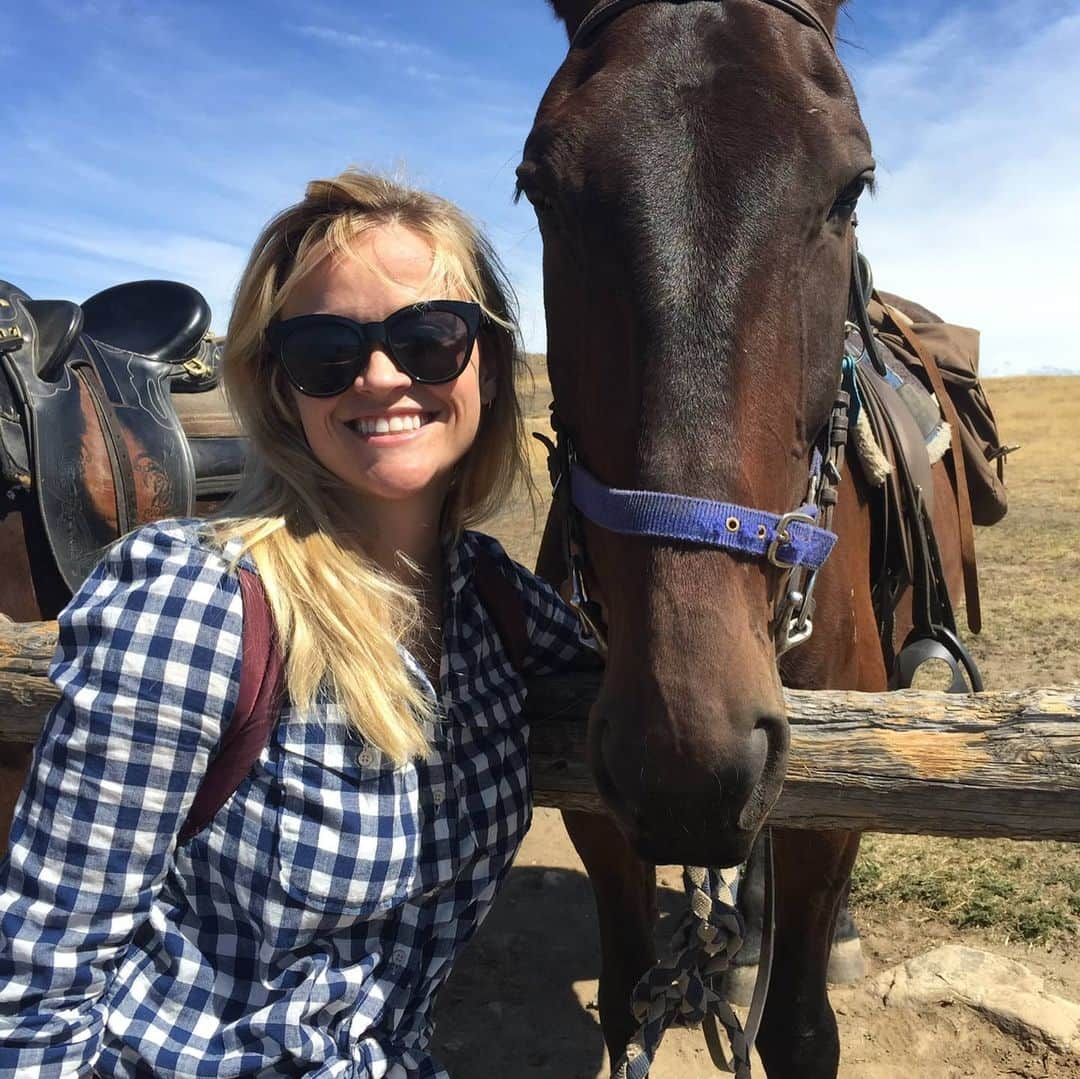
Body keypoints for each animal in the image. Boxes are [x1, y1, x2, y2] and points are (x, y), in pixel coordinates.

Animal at [522, 4, 972, 1075]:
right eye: (540, 189)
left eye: (851, 186)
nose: (684, 753)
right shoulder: (596, 801)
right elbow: (624, 1006)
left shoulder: (826, 800)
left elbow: (803, 1027)